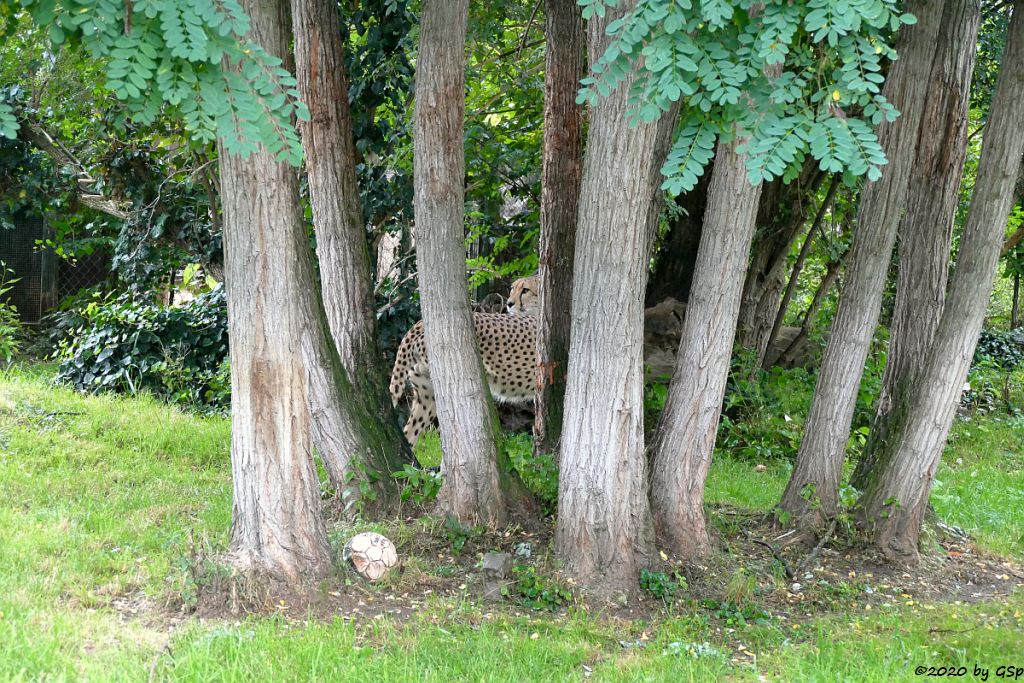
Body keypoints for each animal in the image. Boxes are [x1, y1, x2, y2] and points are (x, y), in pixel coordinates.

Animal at [387, 278, 540, 446]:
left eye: (525, 290)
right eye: (513, 289)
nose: (509, 303)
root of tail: (419, 323)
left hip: (427, 394)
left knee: (409, 434)